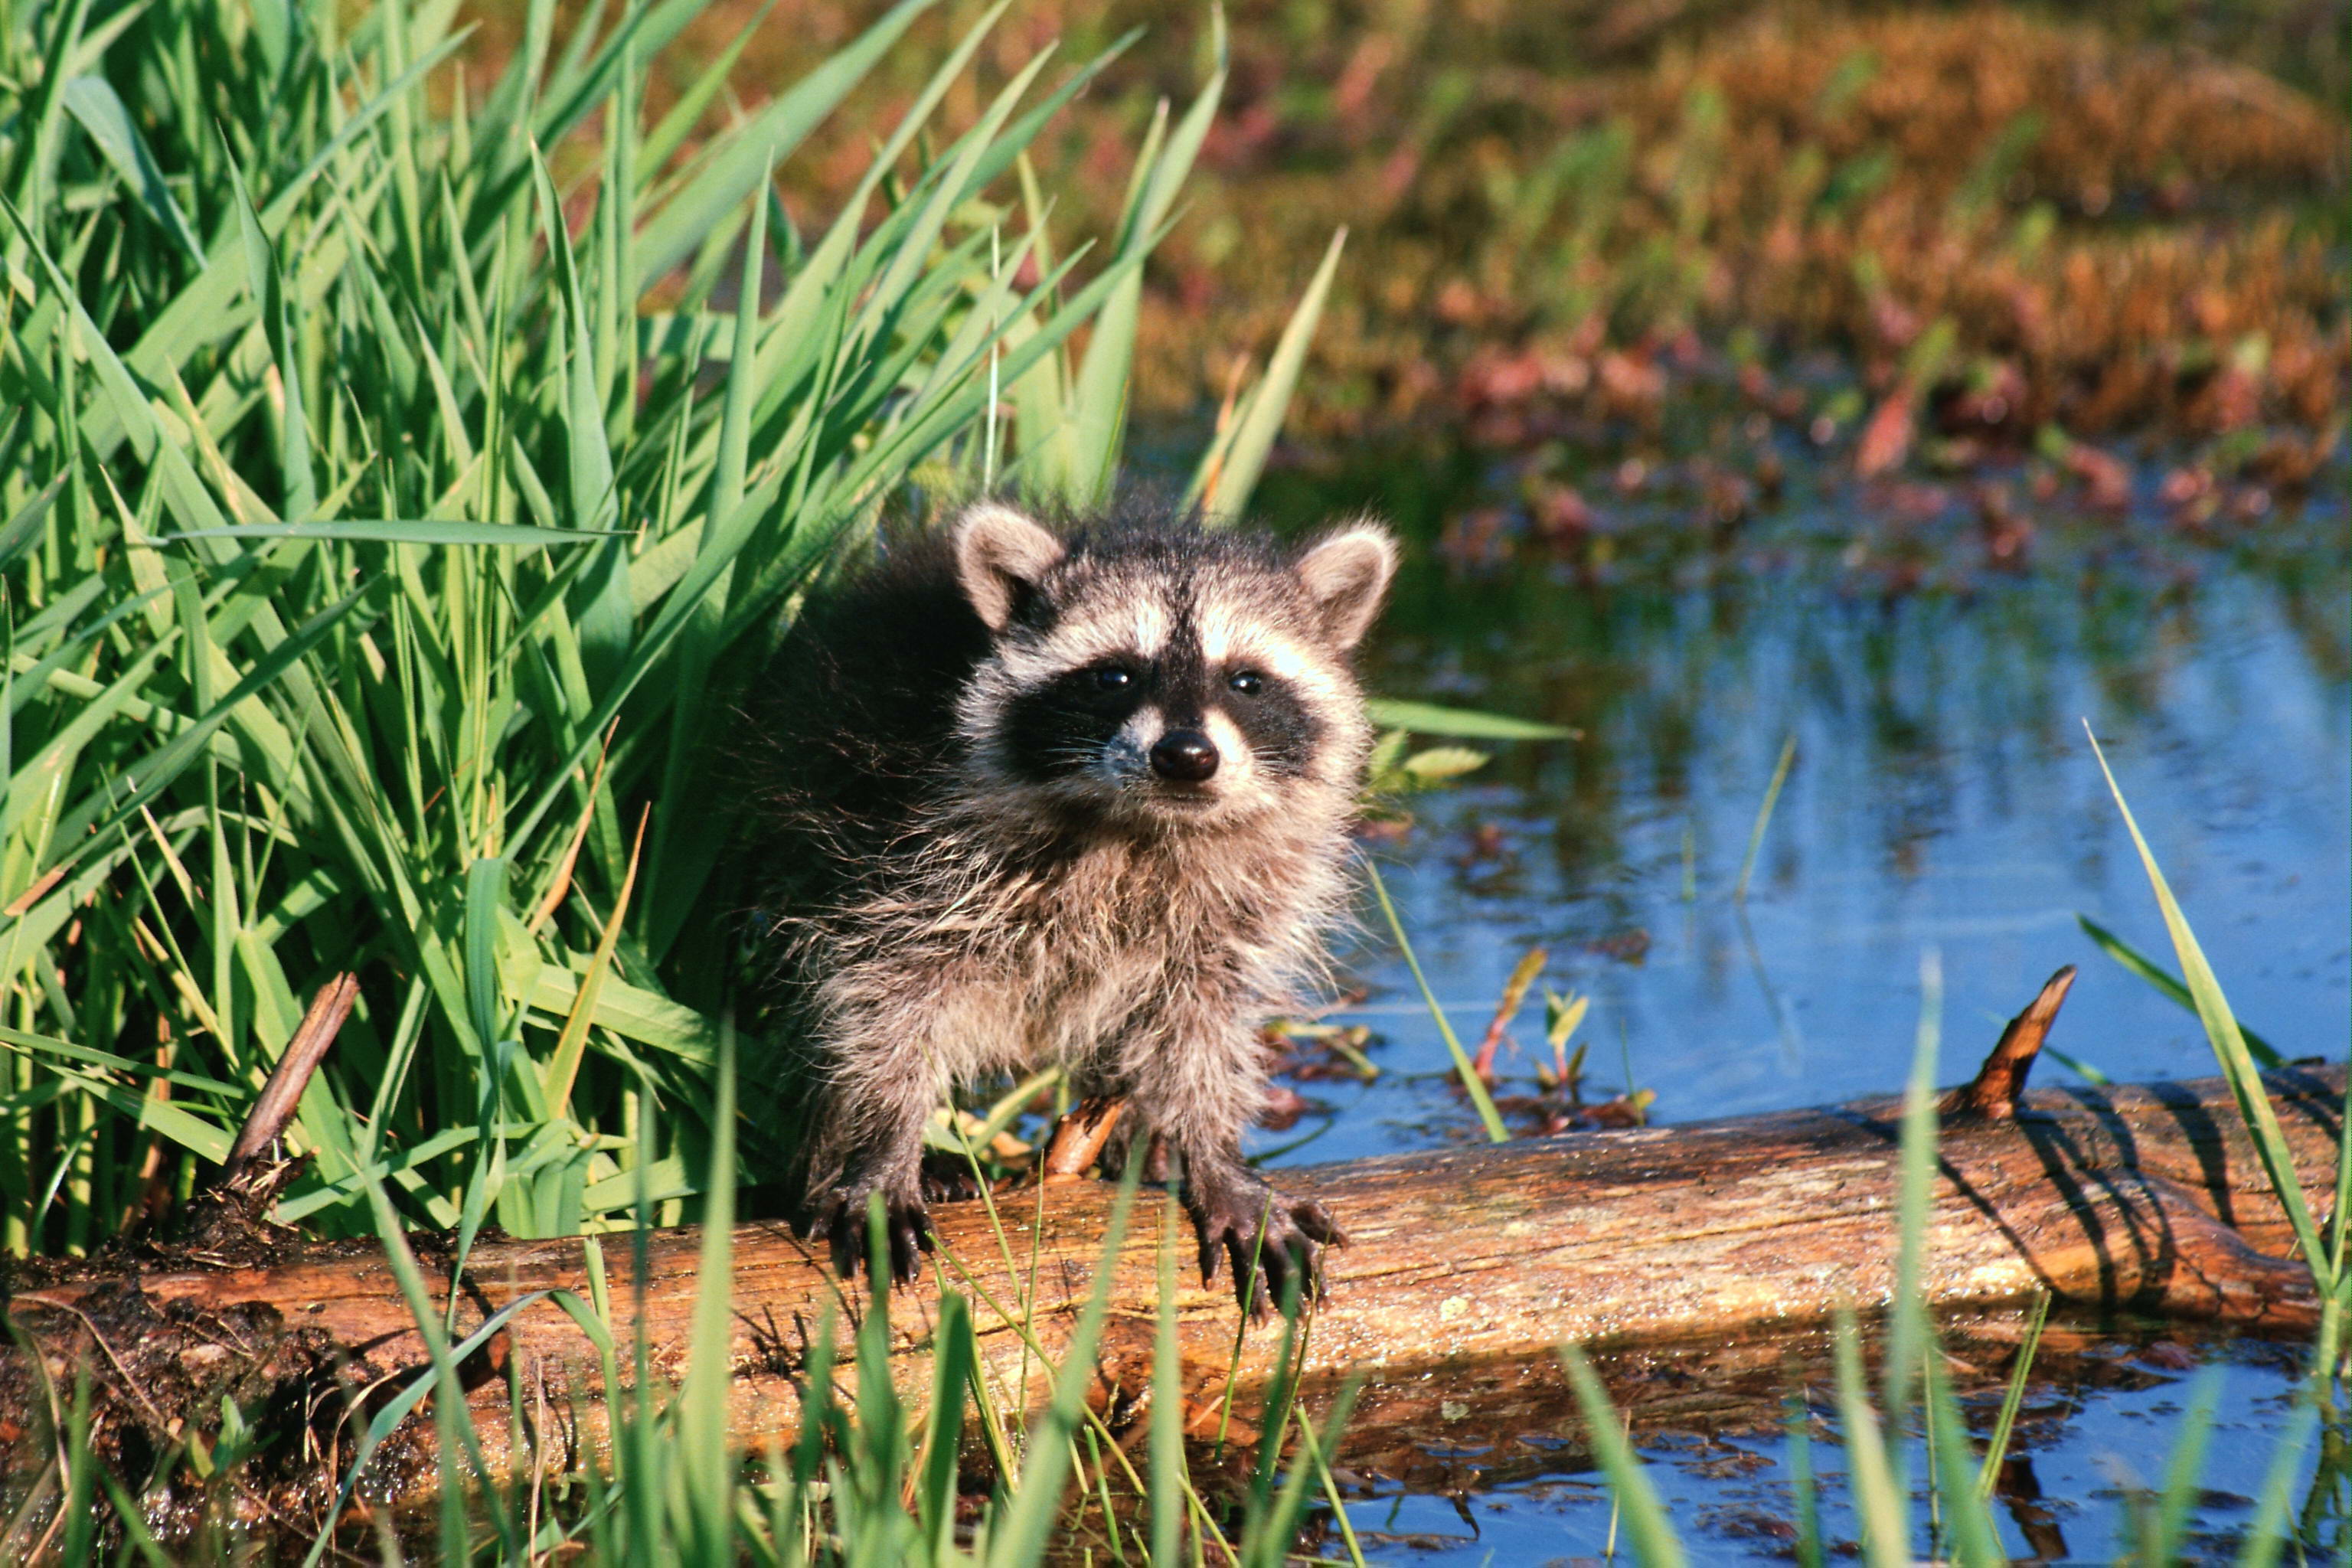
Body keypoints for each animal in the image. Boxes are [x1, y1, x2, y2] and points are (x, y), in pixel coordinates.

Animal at [748, 499, 1396, 1312]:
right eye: (1113, 675)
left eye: (1246, 681)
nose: (1186, 756)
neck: (1144, 824)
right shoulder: (895, 847)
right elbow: (880, 997)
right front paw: (884, 1141)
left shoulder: (1240, 902)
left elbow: (1205, 1020)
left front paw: (1213, 1150)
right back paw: (833, 1153)